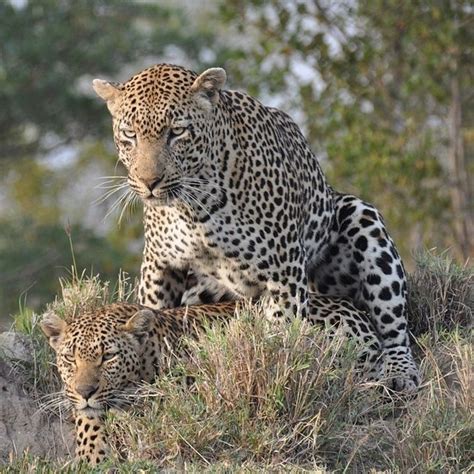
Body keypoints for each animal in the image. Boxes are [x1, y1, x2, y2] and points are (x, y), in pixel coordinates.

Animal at [91, 64, 418, 392]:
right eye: (129, 135)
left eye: (177, 132)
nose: (149, 182)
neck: (194, 210)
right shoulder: (160, 265)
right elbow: (152, 314)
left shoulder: (284, 274)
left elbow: (280, 338)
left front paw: (275, 378)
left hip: (361, 218)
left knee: (393, 329)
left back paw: (401, 373)